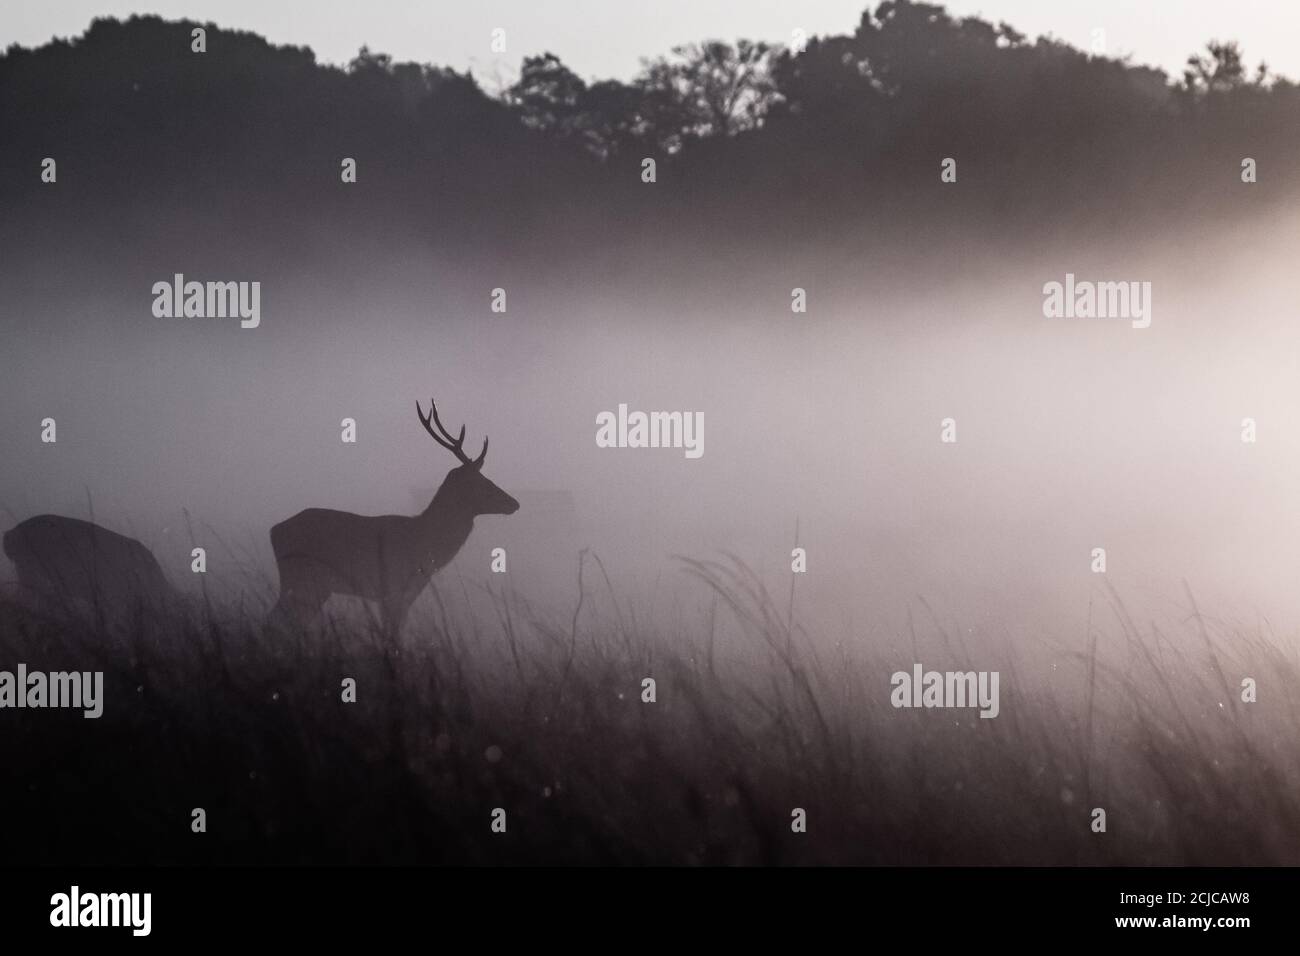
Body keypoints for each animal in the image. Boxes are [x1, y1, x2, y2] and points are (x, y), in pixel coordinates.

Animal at [269, 398, 517, 632]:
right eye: (482, 482)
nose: (514, 503)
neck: (425, 543)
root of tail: (274, 530)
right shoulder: (395, 587)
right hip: (300, 576)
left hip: (315, 586)